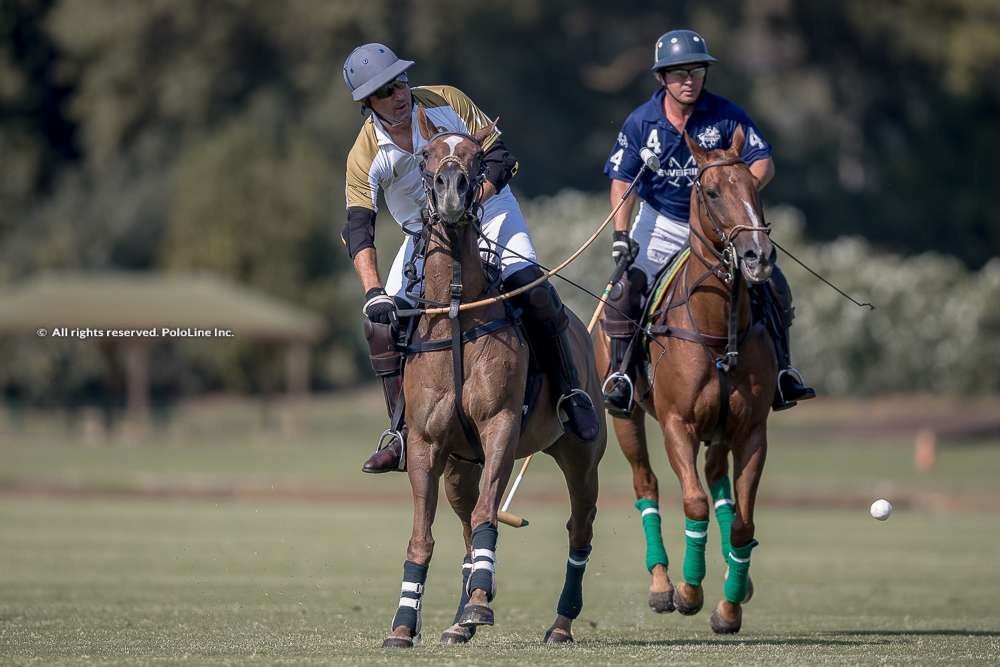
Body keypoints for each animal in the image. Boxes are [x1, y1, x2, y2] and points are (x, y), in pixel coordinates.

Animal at [378, 104, 604, 648]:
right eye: (426, 155)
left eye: (477, 156)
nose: (452, 192)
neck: (457, 307)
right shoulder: (426, 442)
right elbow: (423, 534)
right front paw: (404, 623)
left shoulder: (499, 424)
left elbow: (488, 516)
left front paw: (481, 603)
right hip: (463, 465)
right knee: (466, 524)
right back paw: (460, 620)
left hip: (581, 455)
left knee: (578, 528)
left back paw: (559, 623)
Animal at [596, 126, 776, 636]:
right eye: (711, 192)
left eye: (755, 188)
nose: (758, 257)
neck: (716, 330)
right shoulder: (678, 423)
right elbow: (693, 503)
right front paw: (688, 592)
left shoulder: (752, 430)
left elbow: (743, 522)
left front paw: (729, 608)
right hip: (626, 416)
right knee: (647, 484)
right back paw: (661, 584)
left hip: (721, 431)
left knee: (719, 484)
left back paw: (738, 575)